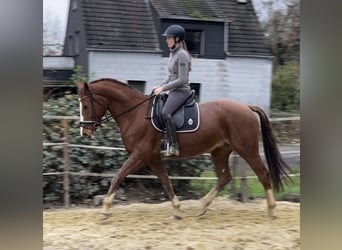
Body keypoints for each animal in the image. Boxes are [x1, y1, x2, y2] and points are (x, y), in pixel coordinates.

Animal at [77, 77, 292, 219]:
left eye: (86, 106)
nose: (85, 132)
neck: (135, 114)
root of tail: (247, 107)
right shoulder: (152, 157)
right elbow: (166, 181)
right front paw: (177, 209)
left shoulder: (140, 155)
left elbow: (118, 176)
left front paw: (105, 208)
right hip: (220, 151)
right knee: (225, 177)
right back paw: (202, 206)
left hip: (247, 149)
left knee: (263, 174)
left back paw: (271, 209)